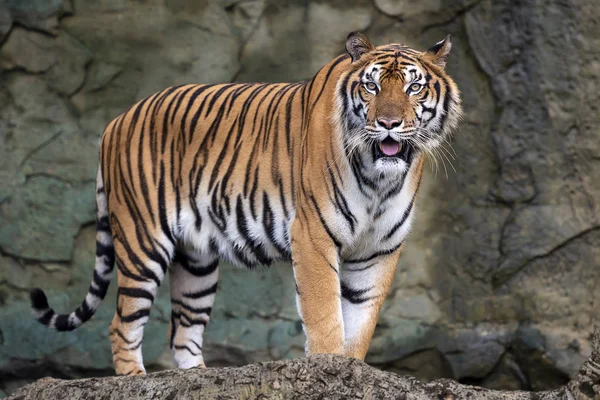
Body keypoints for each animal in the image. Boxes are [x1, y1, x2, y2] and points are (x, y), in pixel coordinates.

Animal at [28, 31, 462, 376]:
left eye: (414, 88)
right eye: (371, 88)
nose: (388, 124)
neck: (379, 179)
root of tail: (116, 121)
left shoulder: (379, 249)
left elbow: (361, 322)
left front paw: (352, 367)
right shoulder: (314, 235)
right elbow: (325, 313)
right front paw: (329, 365)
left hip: (196, 262)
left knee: (182, 333)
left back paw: (198, 378)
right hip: (142, 242)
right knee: (121, 326)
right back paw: (135, 379)